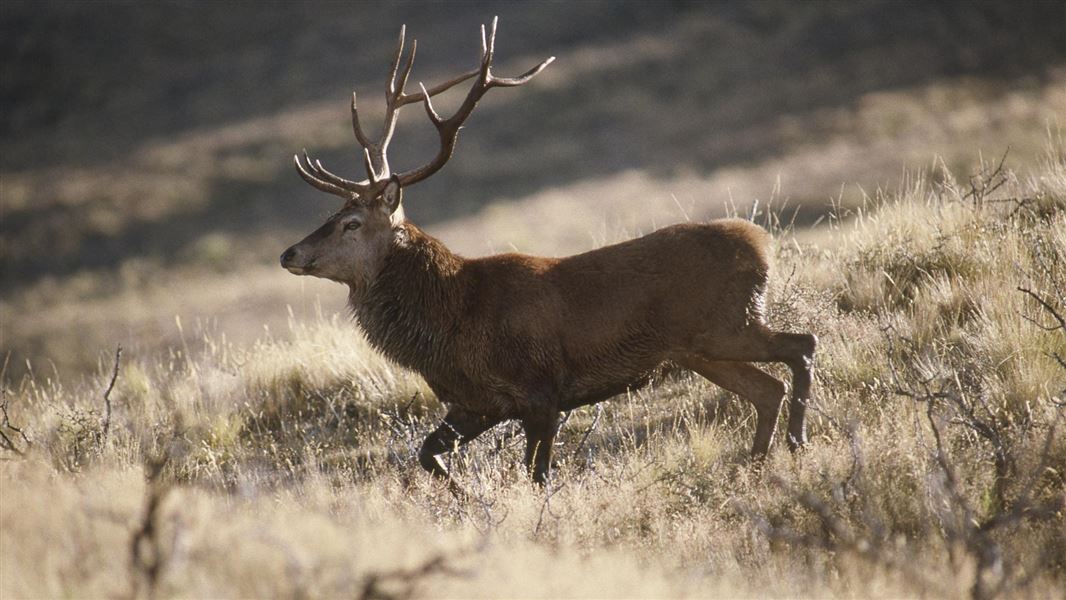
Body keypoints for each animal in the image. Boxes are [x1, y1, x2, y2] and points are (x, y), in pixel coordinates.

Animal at [280, 18, 817, 491]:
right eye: (331, 213)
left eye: (351, 223)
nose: (290, 253)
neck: (450, 323)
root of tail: (762, 245)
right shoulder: (477, 403)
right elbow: (428, 455)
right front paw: (467, 498)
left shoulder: (542, 392)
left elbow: (536, 475)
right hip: (702, 349)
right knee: (768, 388)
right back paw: (756, 461)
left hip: (725, 323)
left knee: (802, 345)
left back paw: (797, 442)